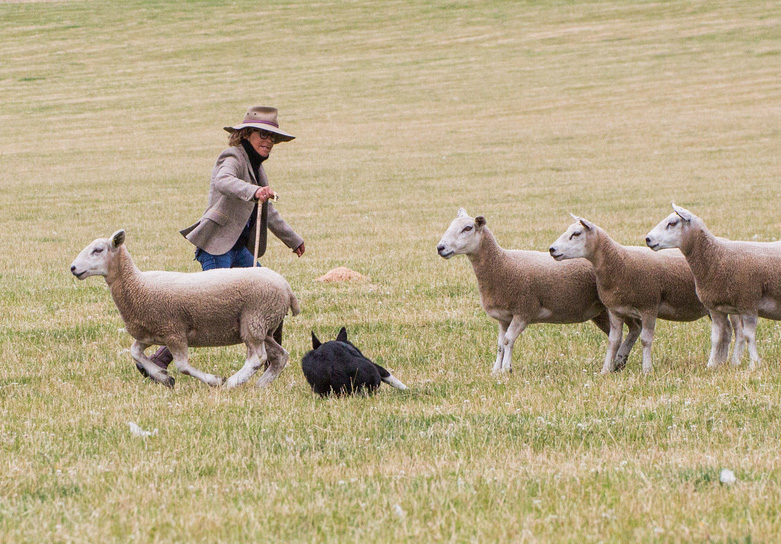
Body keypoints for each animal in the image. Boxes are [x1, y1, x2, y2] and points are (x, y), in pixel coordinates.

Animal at [70, 230, 298, 386]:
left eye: (98, 250)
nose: (73, 268)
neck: (137, 284)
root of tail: (286, 287)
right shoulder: (150, 333)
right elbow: (135, 352)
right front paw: (162, 377)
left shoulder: (174, 332)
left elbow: (183, 366)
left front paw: (214, 380)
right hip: (263, 325)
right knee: (280, 356)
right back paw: (261, 384)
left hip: (254, 319)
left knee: (257, 357)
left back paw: (233, 382)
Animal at [436, 209, 636, 374]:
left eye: (467, 228)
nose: (440, 248)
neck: (502, 265)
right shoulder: (504, 317)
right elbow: (500, 344)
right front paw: (495, 370)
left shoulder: (523, 311)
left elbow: (508, 340)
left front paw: (506, 370)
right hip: (601, 312)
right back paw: (619, 363)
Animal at [548, 216, 736, 374]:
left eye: (576, 234)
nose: (552, 249)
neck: (620, 262)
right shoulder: (615, 310)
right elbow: (613, 341)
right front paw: (605, 370)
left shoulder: (649, 306)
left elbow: (646, 340)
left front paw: (647, 370)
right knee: (726, 331)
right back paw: (721, 362)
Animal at [644, 204, 780, 370]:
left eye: (672, 223)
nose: (648, 239)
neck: (717, 256)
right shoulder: (716, 309)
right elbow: (716, 338)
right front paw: (710, 366)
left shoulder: (748, 302)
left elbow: (749, 336)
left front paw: (754, 364)